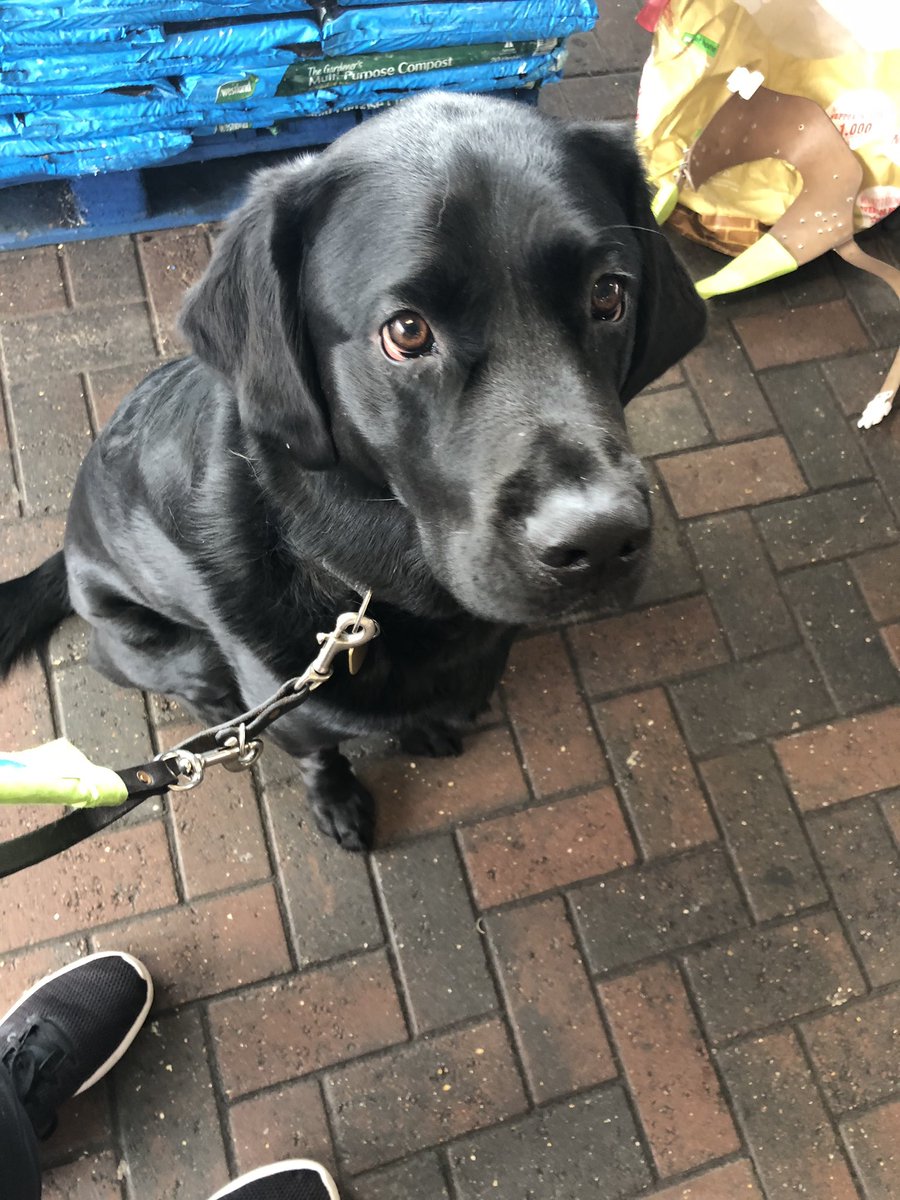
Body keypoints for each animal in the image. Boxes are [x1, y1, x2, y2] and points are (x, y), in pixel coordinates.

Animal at [0, 88, 705, 849]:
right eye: (407, 331)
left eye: (609, 294)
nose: (600, 540)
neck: (373, 584)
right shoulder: (295, 714)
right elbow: (321, 755)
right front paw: (337, 800)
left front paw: (426, 726)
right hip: (159, 644)